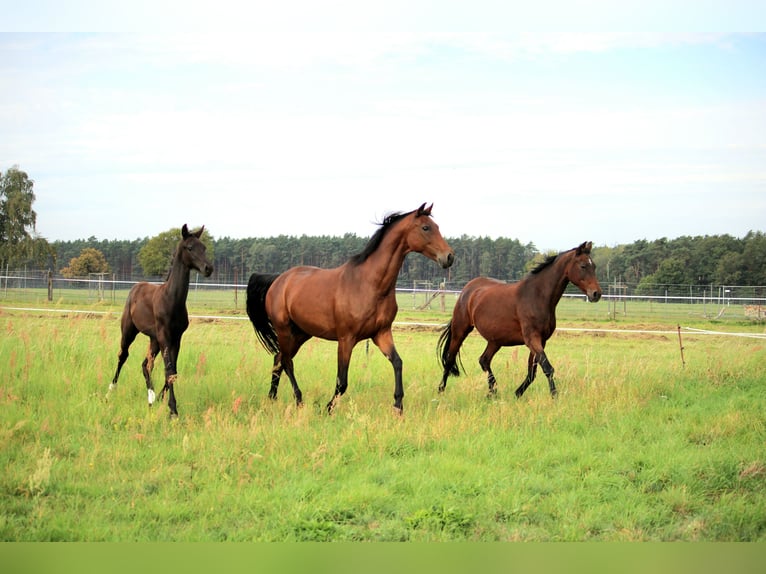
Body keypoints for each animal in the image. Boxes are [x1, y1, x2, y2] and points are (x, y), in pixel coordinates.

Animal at [109, 224, 214, 417]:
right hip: (129, 332)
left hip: (154, 339)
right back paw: (110, 391)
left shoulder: (176, 338)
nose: (208, 268)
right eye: (190, 247)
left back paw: (150, 398)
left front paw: (160, 400)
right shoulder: (165, 336)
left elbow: (173, 371)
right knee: (123, 356)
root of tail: (135, 288)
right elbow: (169, 370)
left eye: (204, 247)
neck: (172, 300)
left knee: (145, 365)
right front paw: (173, 410)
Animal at [247, 203, 454, 414]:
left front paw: (398, 406)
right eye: (426, 228)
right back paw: (299, 401)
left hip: (301, 333)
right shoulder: (346, 339)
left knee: (278, 359)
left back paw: (272, 397)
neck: (370, 285)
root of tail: (278, 280)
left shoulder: (381, 333)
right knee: (287, 362)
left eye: (436, 226)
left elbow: (397, 363)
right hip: (284, 329)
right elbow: (342, 382)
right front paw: (327, 409)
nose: (449, 257)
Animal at [437, 241, 601, 399]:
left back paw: (492, 393)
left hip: (495, 340)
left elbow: (532, 372)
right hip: (461, 330)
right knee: (450, 359)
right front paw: (555, 396)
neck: (537, 296)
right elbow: (547, 368)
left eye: (594, 266)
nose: (596, 294)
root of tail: (467, 289)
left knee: (484, 360)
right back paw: (441, 390)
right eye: (583, 266)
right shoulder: (532, 339)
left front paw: (517, 393)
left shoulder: (541, 341)